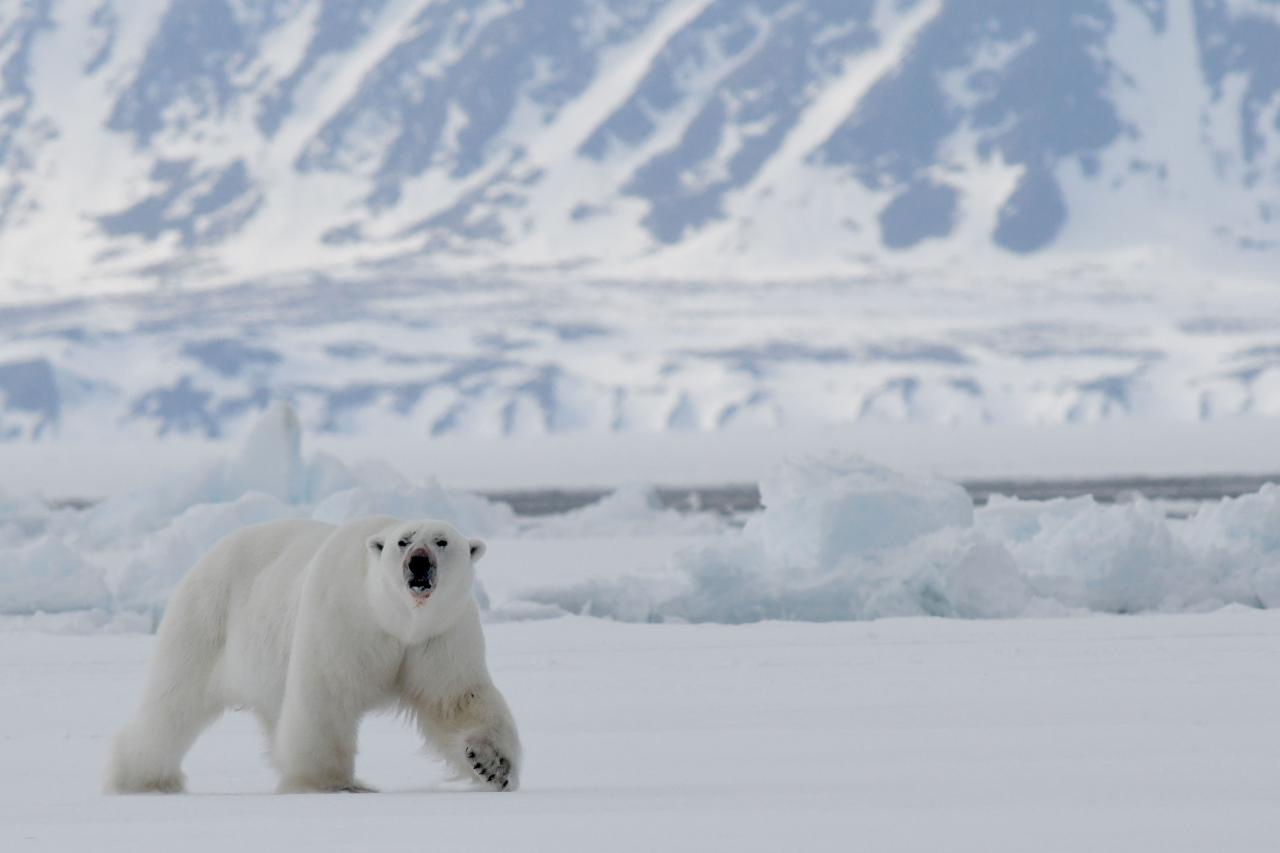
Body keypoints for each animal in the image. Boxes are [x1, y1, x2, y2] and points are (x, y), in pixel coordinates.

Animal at [102, 512, 517, 788]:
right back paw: (142, 778)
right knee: (172, 703)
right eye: (404, 540)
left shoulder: (439, 635)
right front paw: (330, 782)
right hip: (205, 620)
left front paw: (492, 764)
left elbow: (457, 697)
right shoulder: (345, 620)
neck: (395, 619)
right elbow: (327, 696)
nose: (417, 562)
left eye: (442, 541)